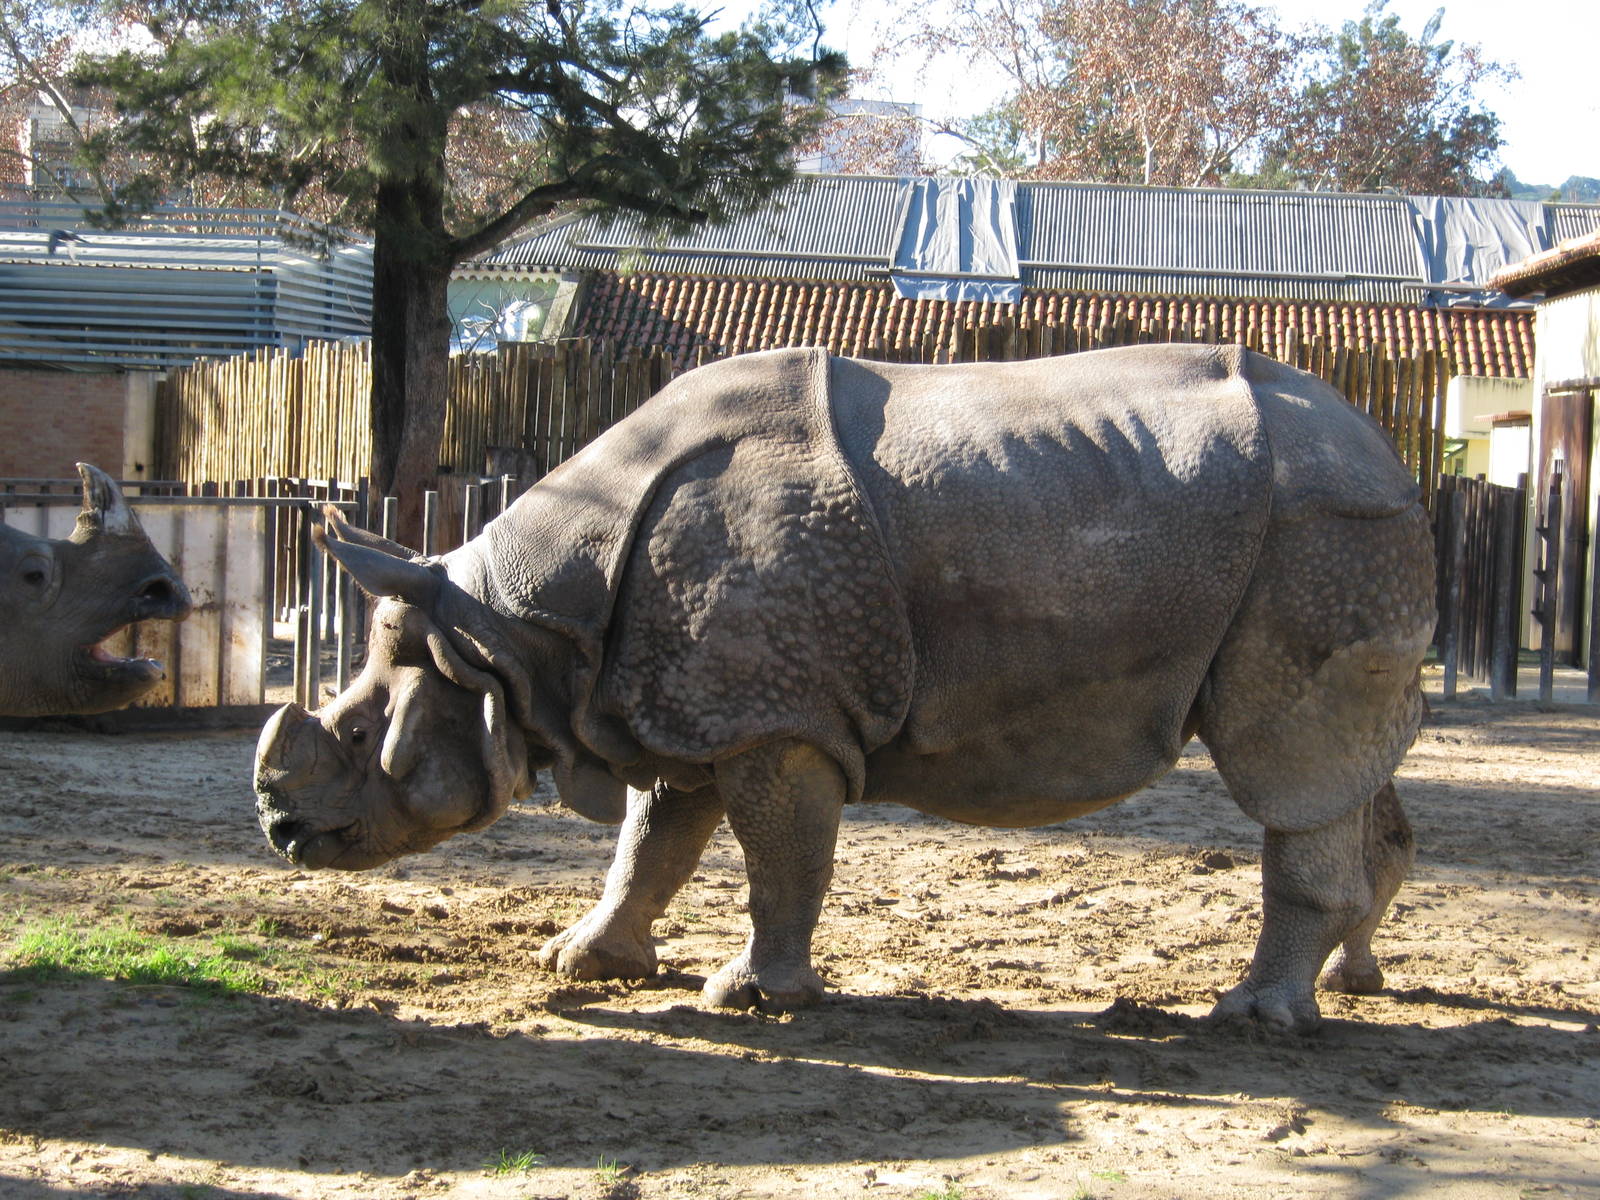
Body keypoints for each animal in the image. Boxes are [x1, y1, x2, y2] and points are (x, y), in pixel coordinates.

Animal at [255, 344, 1435, 1033]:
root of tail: (1388, 449)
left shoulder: (774, 716)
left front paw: (750, 997)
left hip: (1318, 526)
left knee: (1285, 767)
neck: (510, 633)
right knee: (1349, 768)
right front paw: (582, 962)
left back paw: (1253, 1015)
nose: (280, 832)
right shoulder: (686, 699)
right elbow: (651, 844)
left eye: (359, 738)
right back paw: (1349, 985)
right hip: (1322, 524)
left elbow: (780, 861)